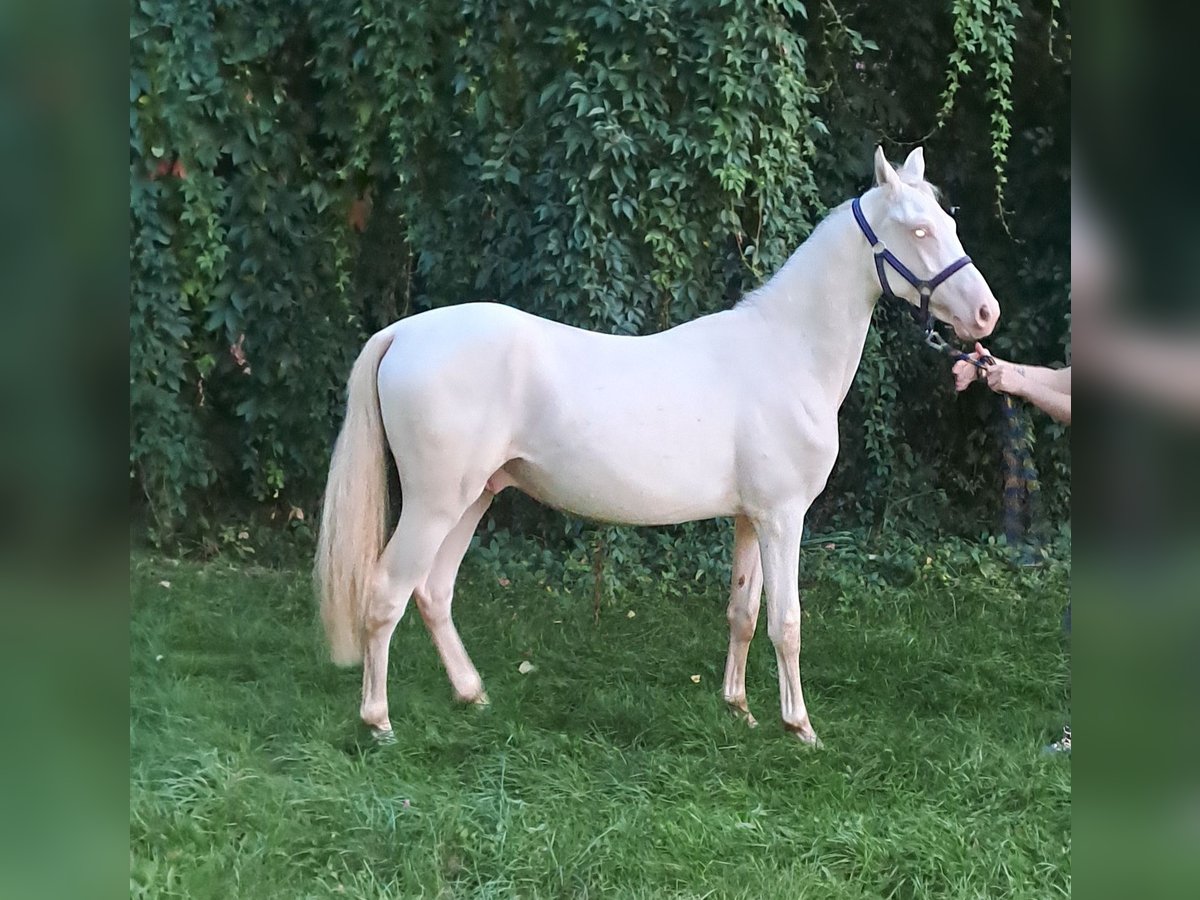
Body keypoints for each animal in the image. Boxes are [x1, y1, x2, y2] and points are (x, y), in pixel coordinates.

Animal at [314, 144, 998, 744]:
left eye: (948, 221)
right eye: (917, 230)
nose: (987, 315)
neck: (787, 351)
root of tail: (404, 333)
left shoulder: (751, 519)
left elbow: (743, 612)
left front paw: (740, 710)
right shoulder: (783, 518)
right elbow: (787, 622)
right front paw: (800, 728)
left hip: (475, 496)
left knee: (433, 591)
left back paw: (472, 695)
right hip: (433, 504)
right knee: (387, 592)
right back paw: (378, 721)